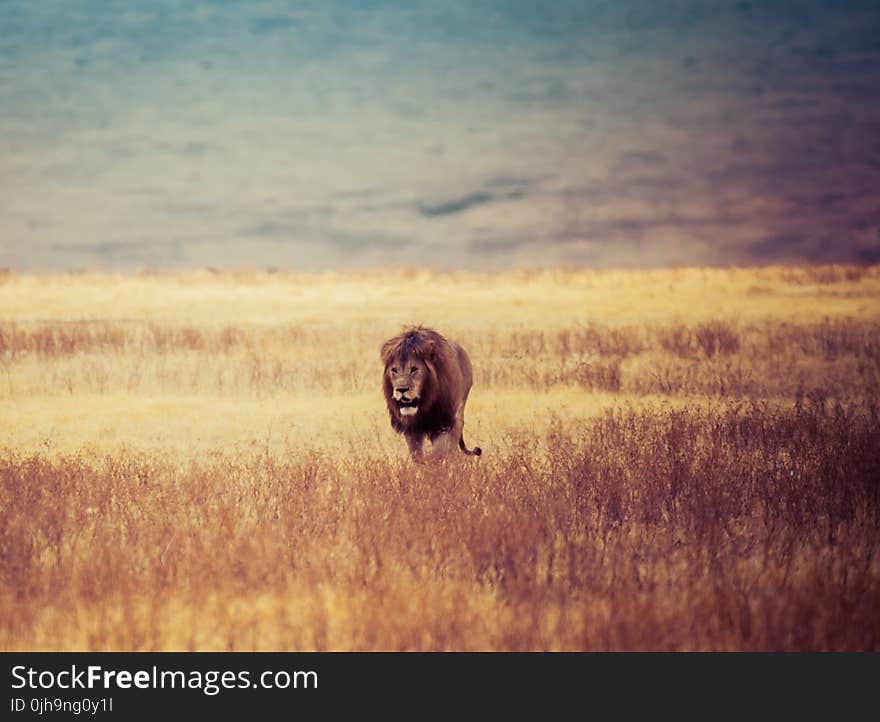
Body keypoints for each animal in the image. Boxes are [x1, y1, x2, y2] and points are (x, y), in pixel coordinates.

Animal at [382, 326, 484, 462]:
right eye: (394, 370)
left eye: (414, 369)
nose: (401, 389)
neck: (425, 402)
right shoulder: (411, 429)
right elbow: (417, 455)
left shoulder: (444, 424)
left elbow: (440, 451)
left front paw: (436, 463)